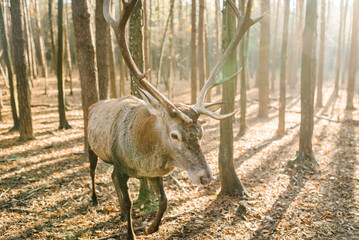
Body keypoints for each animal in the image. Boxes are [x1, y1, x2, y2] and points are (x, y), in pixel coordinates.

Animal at [87, 0, 262, 239]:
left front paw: (151, 227)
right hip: (89, 145)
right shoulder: (120, 165)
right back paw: (95, 199)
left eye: (201, 132)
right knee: (92, 170)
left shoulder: (152, 173)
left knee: (112, 181)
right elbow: (131, 202)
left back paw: (121, 213)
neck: (141, 158)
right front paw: (131, 232)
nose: (206, 177)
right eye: (174, 135)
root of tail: (94, 104)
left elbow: (163, 200)